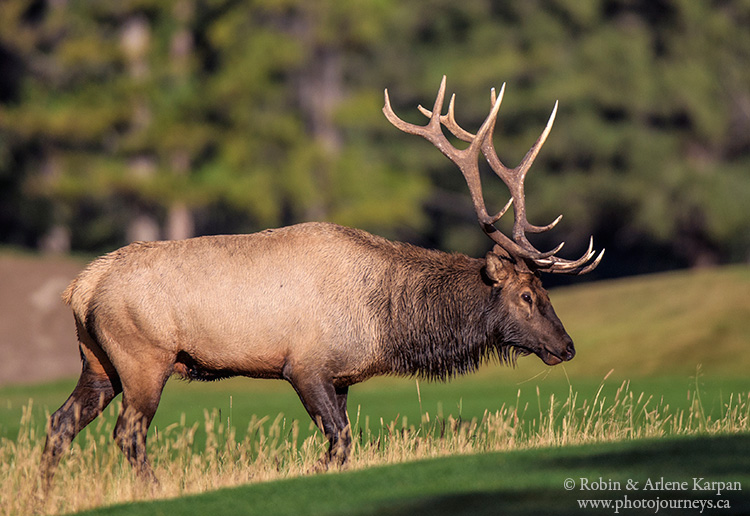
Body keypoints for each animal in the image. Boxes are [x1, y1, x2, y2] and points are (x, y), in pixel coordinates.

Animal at [39, 76, 604, 488]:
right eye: (528, 295)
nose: (568, 345)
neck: (386, 320)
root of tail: (80, 287)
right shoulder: (305, 365)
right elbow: (340, 442)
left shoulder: (342, 377)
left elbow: (344, 443)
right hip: (144, 357)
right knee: (127, 433)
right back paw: (153, 490)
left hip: (98, 361)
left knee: (60, 423)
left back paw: (45, 494)